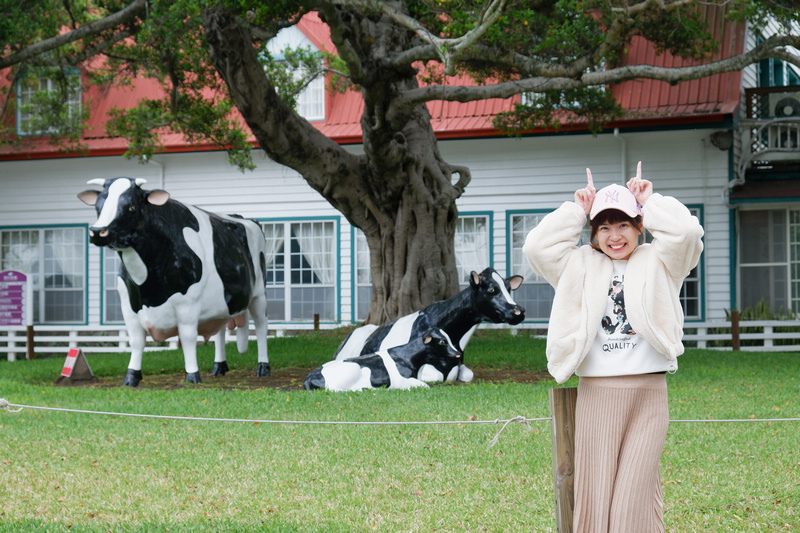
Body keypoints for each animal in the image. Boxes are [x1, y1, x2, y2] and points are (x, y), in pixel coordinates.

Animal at [79, 179, 270, 386]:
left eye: (131, 207)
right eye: (98, 207)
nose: (97, 232)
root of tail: (242, 217)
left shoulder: (188, 304)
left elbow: (187, 337)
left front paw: (192, 376)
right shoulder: (128, 306)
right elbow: (136, 341)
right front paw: (131, 377)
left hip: (259, 295)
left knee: (261, 326)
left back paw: (263, 368)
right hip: (221, 303)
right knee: (219, 331)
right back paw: (219, 367)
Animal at [302, 324, 462, 390]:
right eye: (442, 341)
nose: (457, 353)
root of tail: (309, 376)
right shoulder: (403, 380)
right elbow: (425, 386)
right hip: (351, 369)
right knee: (333, 388)